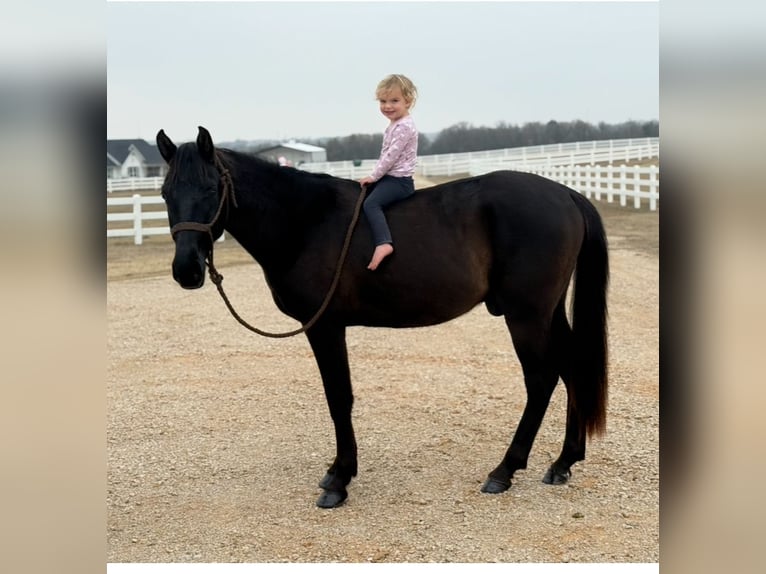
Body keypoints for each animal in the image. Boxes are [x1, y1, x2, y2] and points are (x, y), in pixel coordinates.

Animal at [156, 126, 609, 509]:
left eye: (211, 188)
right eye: (164, 193)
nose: (187, 270)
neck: (305, 220)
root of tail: (566, 195)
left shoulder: (325, 327)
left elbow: (338, 397)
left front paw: (340, 480)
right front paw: (337, 472)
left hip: (526, 315)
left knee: (541, 380)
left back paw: (505, 470)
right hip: (549, 313)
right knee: (571, 368)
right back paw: (564, 462)